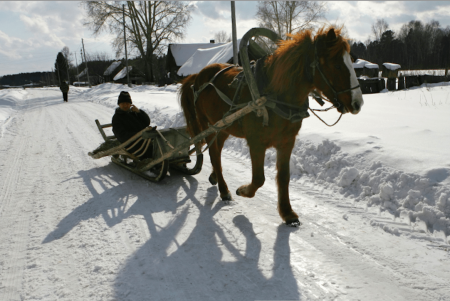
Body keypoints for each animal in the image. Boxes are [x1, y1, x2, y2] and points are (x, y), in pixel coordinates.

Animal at [178, 26, 364, 225]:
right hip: (209, 125)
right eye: (336, 65)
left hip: (223, 126)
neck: (273, 94)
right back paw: (224, 190)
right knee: (213, 152)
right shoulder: (256, 142)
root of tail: (198, 76)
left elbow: (283, 177)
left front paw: (287, 212)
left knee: (216, 152)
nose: (357, 104)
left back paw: (215, 177)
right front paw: (243, 190)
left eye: (351, 61)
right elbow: (259, 178)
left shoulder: (287, 142)